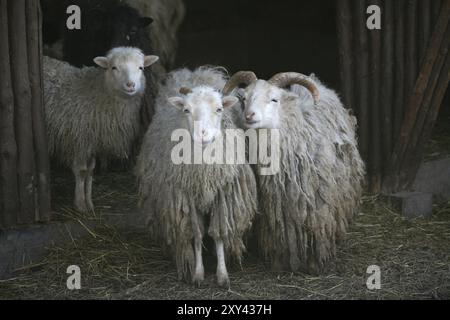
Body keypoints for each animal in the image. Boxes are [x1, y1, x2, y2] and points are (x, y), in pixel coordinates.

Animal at [42, 47, 158, 212]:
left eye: (141, 68)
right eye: (114, 67)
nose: (130, 85)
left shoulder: (93, 141)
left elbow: (90, 171)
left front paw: (89, 202)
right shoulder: (79, 140)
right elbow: (81, 171)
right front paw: (80, 204)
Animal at [136, 66, 256, 286]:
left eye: (219, 109)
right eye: (186, 110)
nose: (203, 135)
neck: (203, 171)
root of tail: (197, 72)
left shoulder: (221, 195)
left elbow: (219, 234)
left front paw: (222, 274)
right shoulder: (187, 196)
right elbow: (197, 234)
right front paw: (198, 273)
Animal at [223, 72, 368, 272]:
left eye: (274, 99)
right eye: (244, 98)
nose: (249, 115)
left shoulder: (318, 204)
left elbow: (318, 231)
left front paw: (315, 263)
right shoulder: (275, 207)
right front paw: (280, 262)